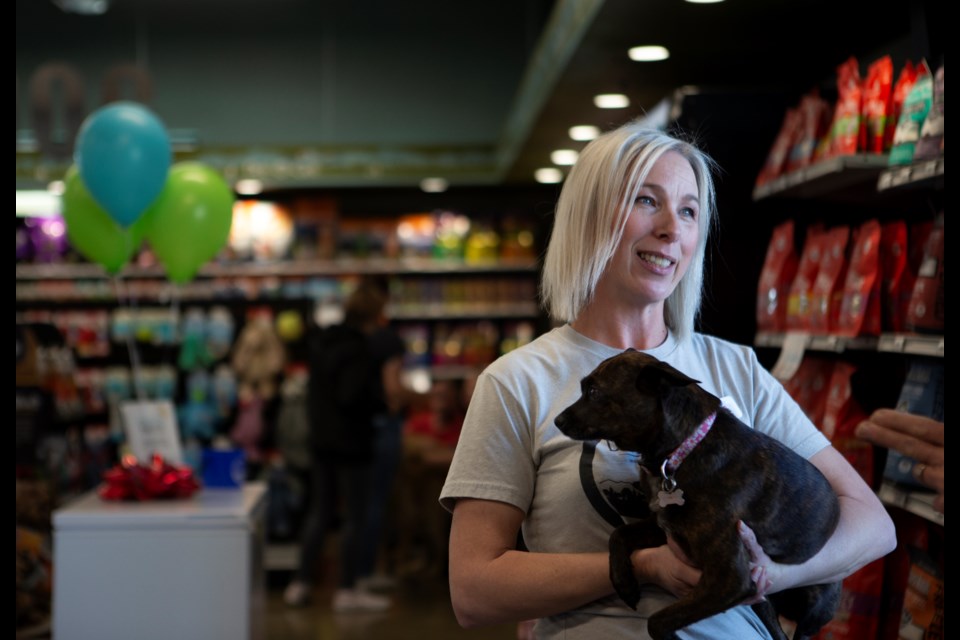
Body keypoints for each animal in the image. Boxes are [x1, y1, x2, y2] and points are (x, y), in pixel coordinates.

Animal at [556, 350, 840, 640]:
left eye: (594, 392)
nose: (558, 421)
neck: (683, 450)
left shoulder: (731, 579)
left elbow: (658, 621)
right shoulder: (665, 529)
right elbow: (619, 534)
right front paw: (624, 583)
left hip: (816, 606)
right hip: (763, 604)